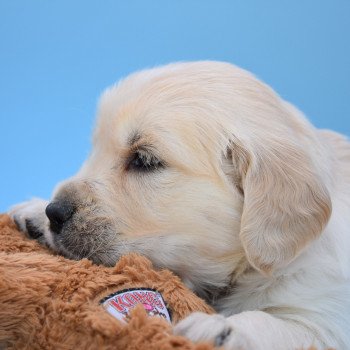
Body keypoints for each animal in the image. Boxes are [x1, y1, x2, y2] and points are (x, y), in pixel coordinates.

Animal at [10, 61, 350, 348]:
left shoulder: (327, 316)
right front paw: (35, 212)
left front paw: (222, 328)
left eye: (144, 160)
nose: (54, 212)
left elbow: (282, 325)